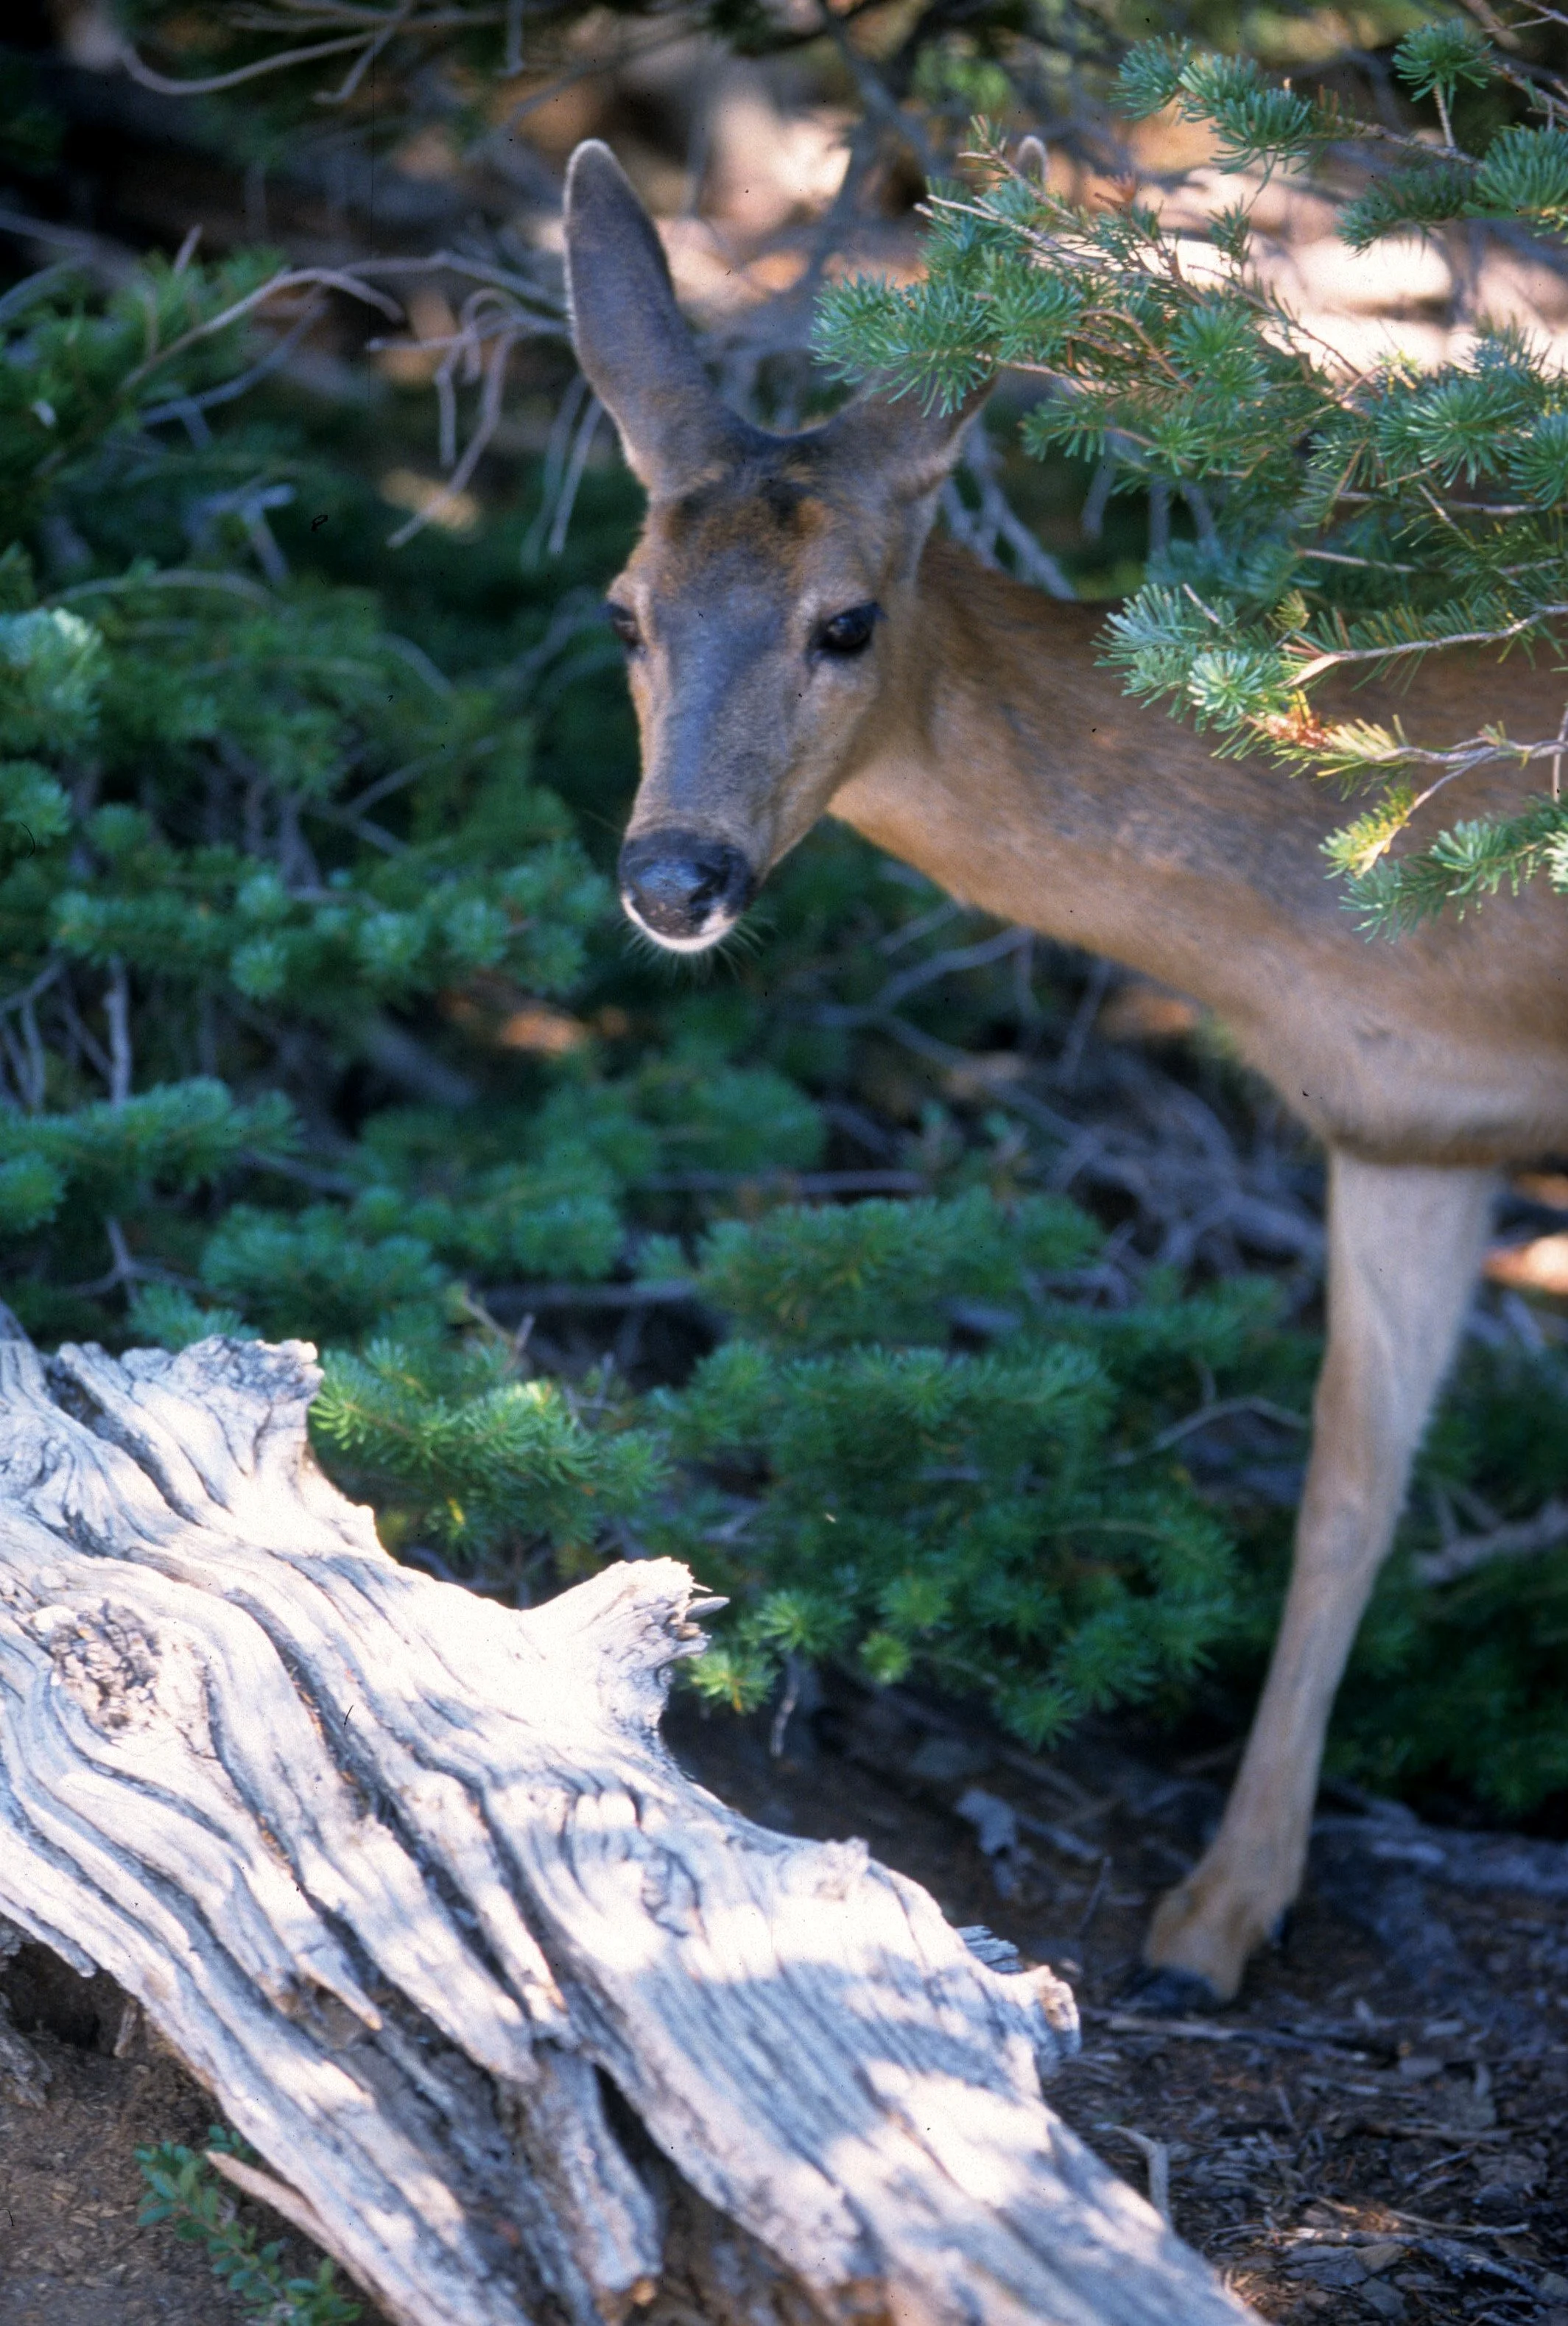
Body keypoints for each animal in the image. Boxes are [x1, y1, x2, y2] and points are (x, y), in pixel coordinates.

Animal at [562, 136, 1568, 2008]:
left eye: (845, 623)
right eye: (624, 614)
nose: (672, 876)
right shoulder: (1405, 1127)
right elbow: (1344, 1486)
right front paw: (1216, 1912)